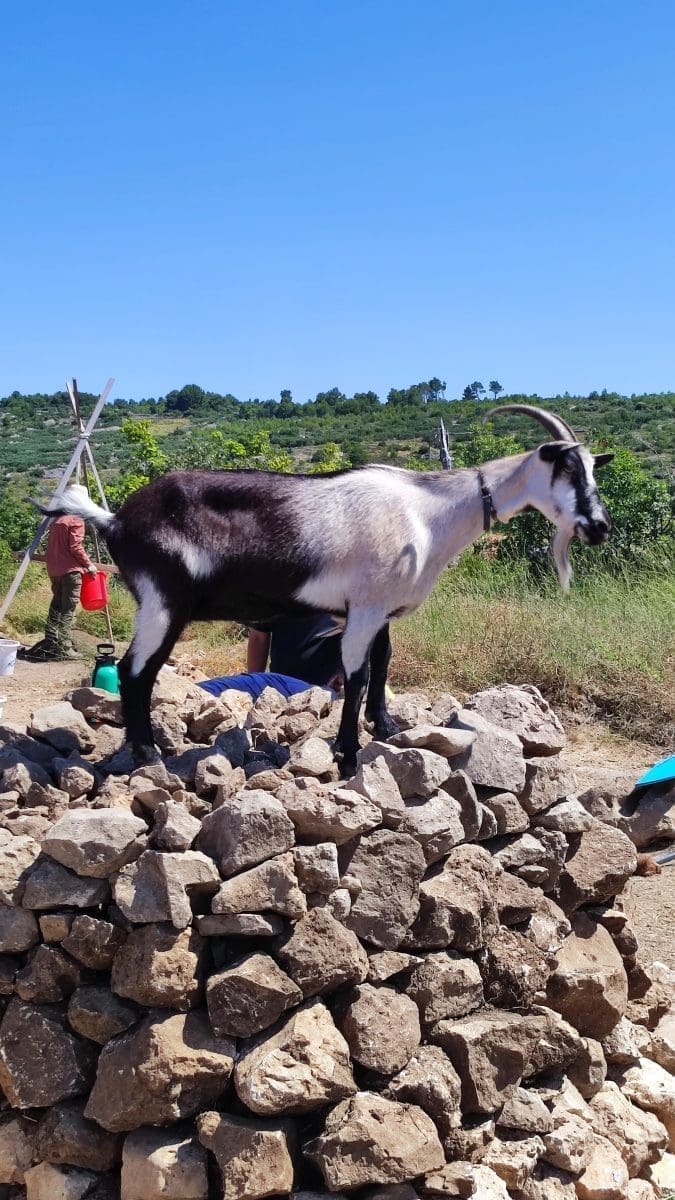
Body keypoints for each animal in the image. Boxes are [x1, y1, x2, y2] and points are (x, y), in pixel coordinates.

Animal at [38, 404, 612, 776]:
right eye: (566, 467)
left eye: (592, 469)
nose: (600, 528)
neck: (430, 513)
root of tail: (114, 520)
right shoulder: (365, 607)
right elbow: (355, 676)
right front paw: (348, 755)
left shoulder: (377, 609)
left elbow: (383, 662)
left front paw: (385, 726)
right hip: (163, 604)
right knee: (135, 671)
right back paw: (148, 754)